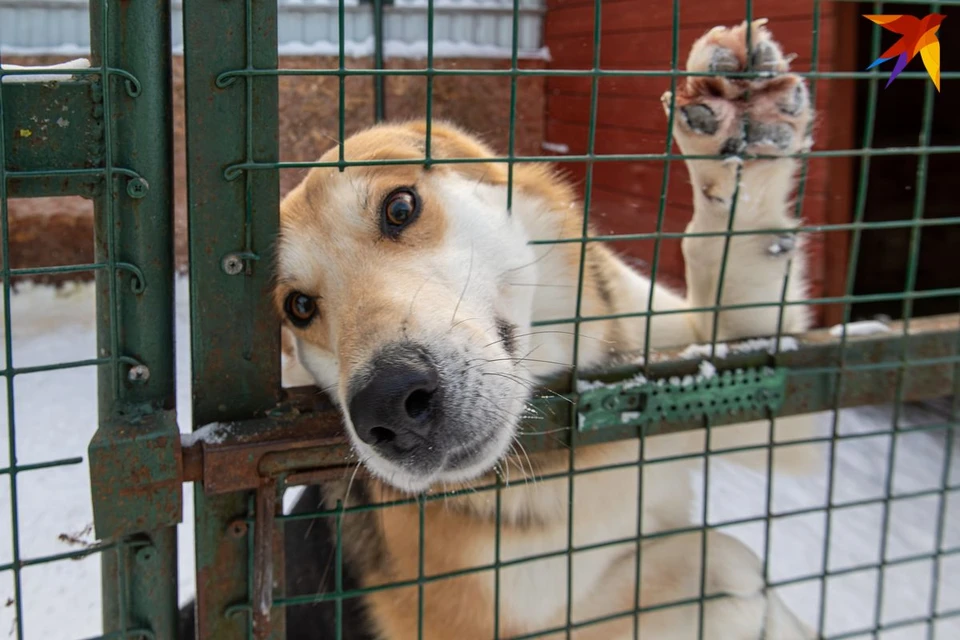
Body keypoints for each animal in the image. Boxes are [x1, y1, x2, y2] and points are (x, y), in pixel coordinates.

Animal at [186, 20, 824, 640]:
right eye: (298, 307)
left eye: (400, 207)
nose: (387, 405)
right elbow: (726, 569)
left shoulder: (745, 391)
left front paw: (740, 140)